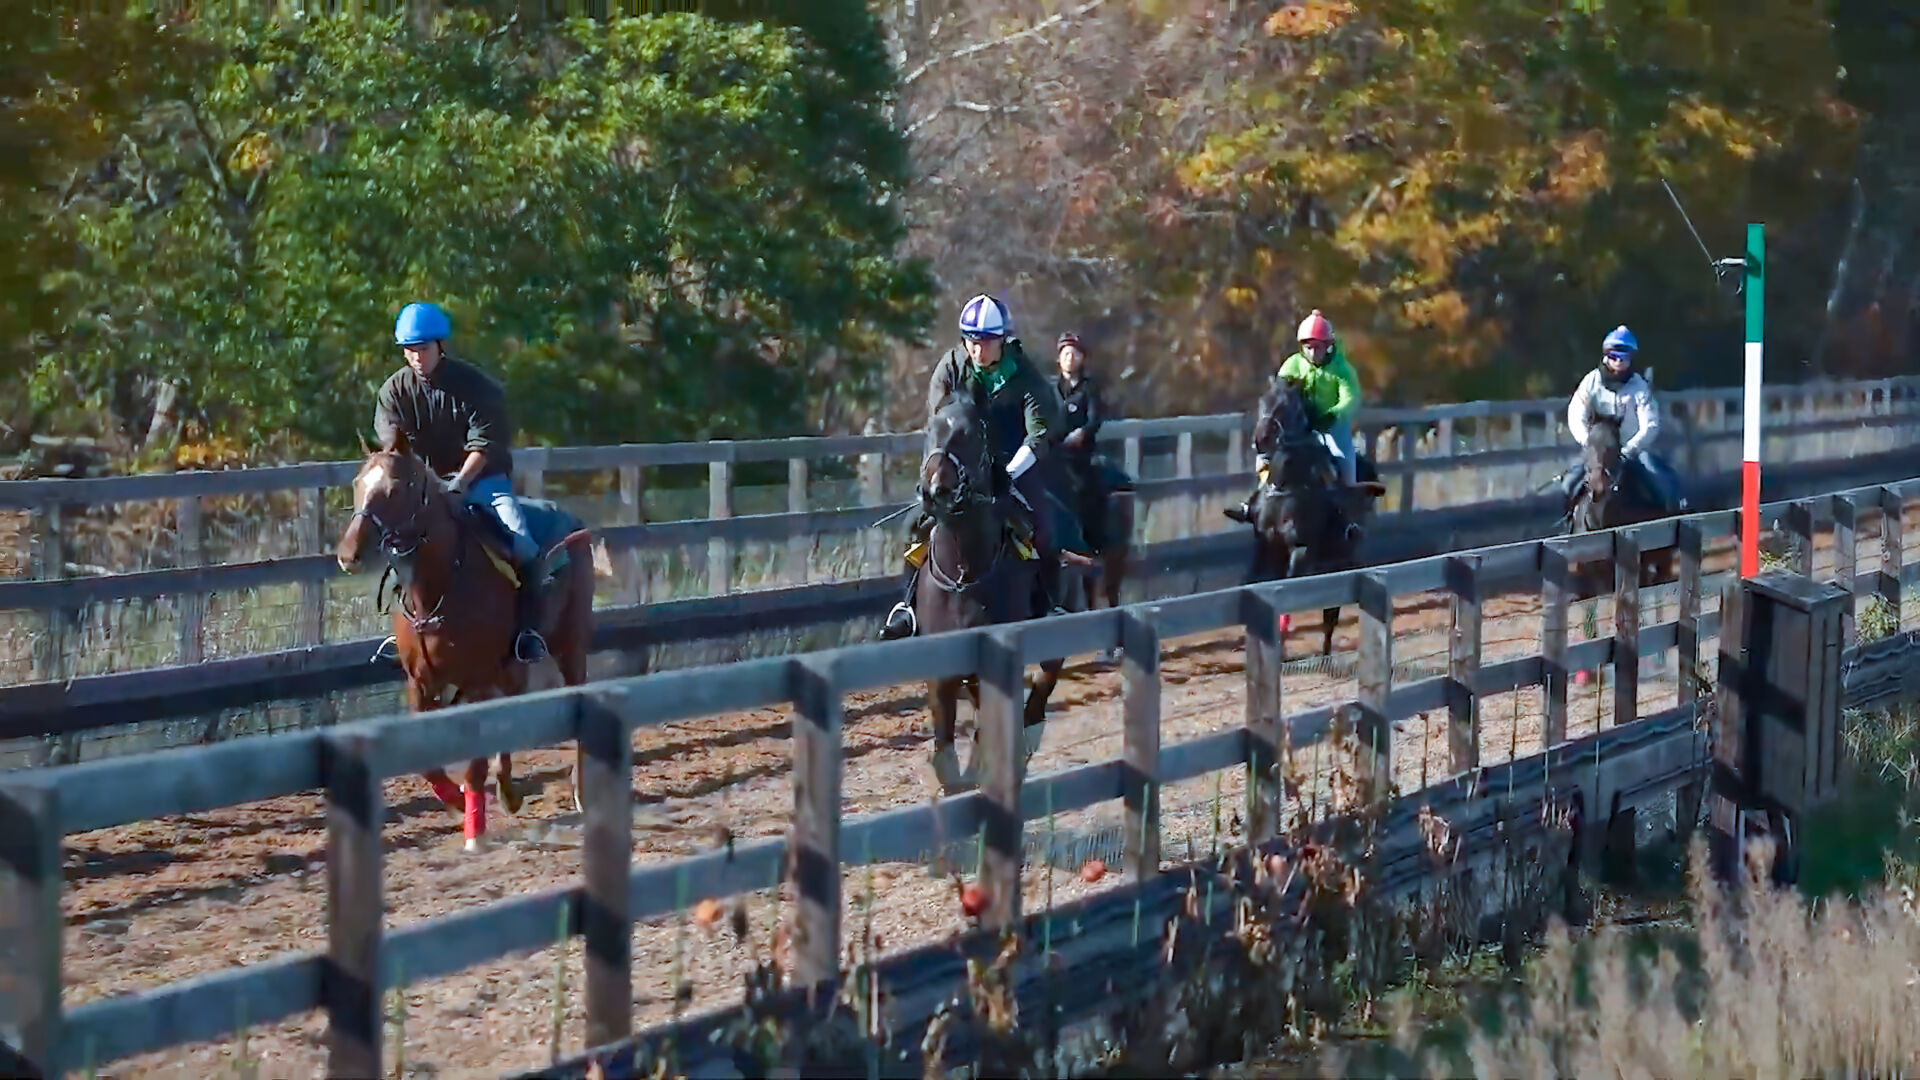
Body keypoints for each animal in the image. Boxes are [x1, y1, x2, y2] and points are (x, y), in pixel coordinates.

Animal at [334, 432, 595, 845]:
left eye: (396, 488)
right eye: (358, 483)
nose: (349, 555)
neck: (441, 584)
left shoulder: (477, 682)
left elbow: (475, 762)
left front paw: (475, 828)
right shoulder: (420, 682)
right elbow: (428, 763)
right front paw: (457, 799)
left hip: (569, 645)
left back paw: (579, 793)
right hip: (513, 665)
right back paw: (508, 793)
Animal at [910, 395, 1075, 791]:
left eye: (971, 434)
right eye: (930, 429)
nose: (935, 492)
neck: (964, 569)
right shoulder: (943, 663)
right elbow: (946, 745)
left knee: (1045, 677)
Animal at [1244, 368, 1382, 657]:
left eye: (1287, 406)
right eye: (1263, 401)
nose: (1260, 440)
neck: (1289, 482)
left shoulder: (1301, 547)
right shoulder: (1266, 545)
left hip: (1341, 558)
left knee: (1331, 612)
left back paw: (1326, 651)